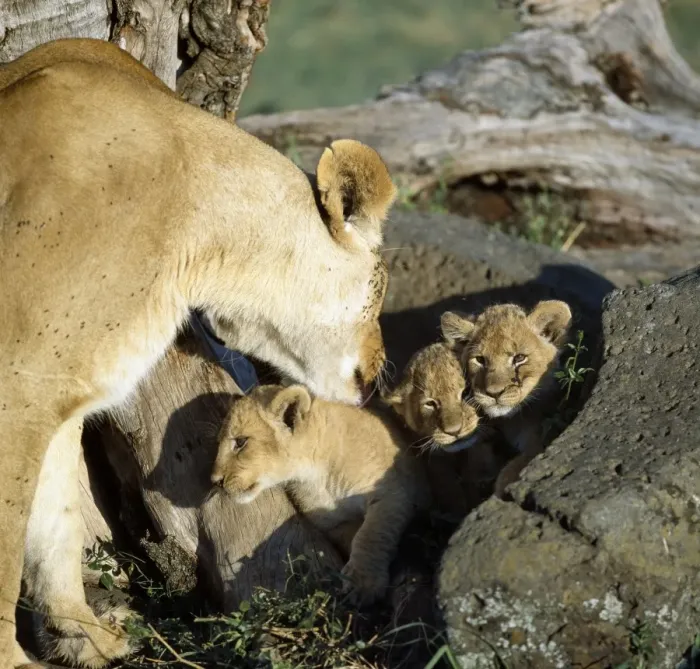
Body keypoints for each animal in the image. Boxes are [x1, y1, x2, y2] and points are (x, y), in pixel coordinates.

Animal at [1, 38, 397, 668]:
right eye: (382, 285)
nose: (381, 367)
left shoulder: (57, 395)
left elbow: (53, 526)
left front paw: (85, 638)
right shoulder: (18, 387)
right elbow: (6, 548)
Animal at [211, 384, 430, 606]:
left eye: (240, 442)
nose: (215, 480)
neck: (317, 474)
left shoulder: (392, 493)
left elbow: (371, 535)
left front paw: (362, 583)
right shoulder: (332, 523)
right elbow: (354, 537)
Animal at [440, 301, 573, 496]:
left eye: (519, 358)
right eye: (480, 359)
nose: (494, 393)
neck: (512, 421)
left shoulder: (541, 435)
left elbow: (525, 460)